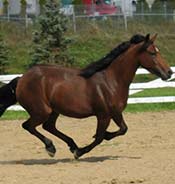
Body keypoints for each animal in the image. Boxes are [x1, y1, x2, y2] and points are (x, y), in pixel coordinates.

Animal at [0, 33, 172, 159]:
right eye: (152, 53)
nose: (169, 72)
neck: (112, 80)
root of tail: (22, 78)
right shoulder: (103, 115)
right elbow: (99, 137)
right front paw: (80, 152)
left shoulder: (115, 113)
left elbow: (123, 129)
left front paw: (90, 143)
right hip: (41, 111)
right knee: (28, 126)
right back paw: (51, 147)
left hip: (54, 110)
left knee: (48, 126)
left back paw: (71, 145)